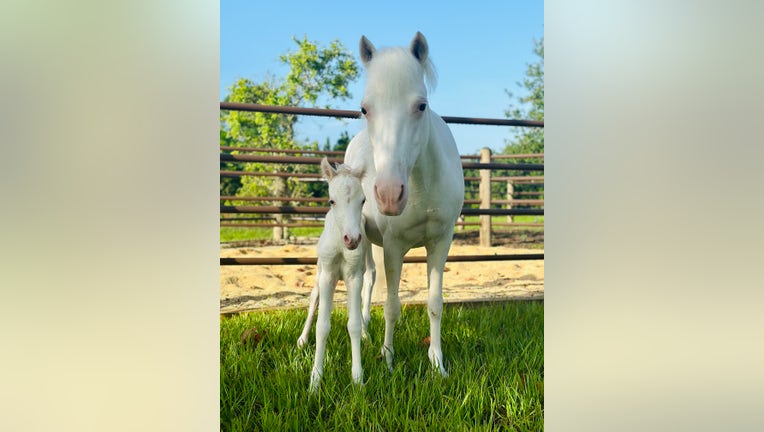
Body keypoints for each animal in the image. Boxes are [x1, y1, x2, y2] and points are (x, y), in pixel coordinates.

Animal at [296, 158, 372, 392]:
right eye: (331, 201)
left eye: (363, 200)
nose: (352, 239)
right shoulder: (327, 275)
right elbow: (322, 326)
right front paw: (315, 382)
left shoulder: (354, 276)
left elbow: (353, 323)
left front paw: (357, 379)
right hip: (319, 271)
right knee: (313, 299)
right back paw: (302, 340)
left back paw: (366, 334)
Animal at [346, 32, 466, 376]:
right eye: (364, 108)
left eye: (421, 106)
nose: (389, 195)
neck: (421, 188)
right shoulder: (393, 246)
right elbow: (392, 305)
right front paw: (387, 359)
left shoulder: (440, 243)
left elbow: (435, 303)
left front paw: (437, 363)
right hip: (362, 240)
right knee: (365, 282)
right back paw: (365, 333)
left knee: (370, 279)